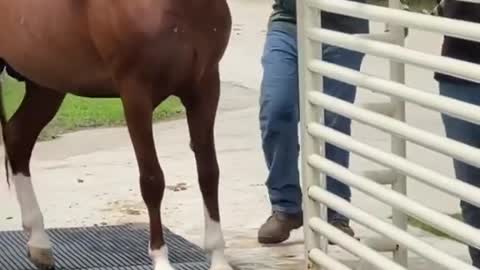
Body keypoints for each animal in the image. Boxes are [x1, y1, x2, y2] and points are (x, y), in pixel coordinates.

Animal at [0, 1, 232, 268]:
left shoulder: (205, 87)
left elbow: (208, 174)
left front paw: (218, 259)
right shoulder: (136, 94)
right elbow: (152, 180)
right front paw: (161, 260)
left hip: (46, 84)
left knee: (18, 138)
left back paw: (38, 241)